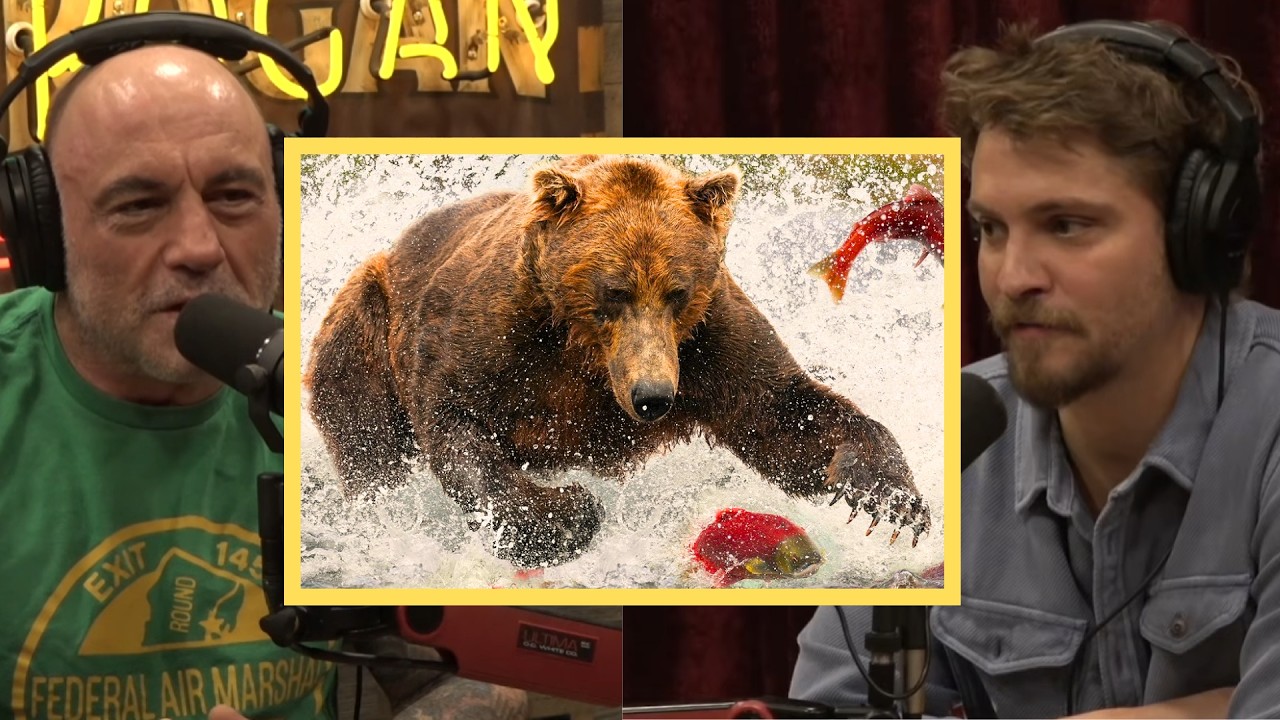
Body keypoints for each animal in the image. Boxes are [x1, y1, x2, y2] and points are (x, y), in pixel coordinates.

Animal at [304, 155, 930, 569]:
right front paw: (563, 514)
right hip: (364, 325)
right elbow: (456, 422)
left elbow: (781, 413)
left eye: (676, 292)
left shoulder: (708, 340)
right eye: (615, 290)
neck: (583, 351)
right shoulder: (492, 330)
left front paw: (888, 496)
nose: (653, 397)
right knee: (368, 439)